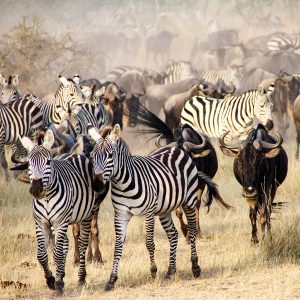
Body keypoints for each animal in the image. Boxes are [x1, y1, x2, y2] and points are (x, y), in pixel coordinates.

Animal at [18, 131, 98, 296]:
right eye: (28, 163)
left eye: (48, 162)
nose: (36, 190)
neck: (47, 197)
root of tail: (73, 154)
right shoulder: (41, 223)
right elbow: (42, 255)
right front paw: (51, 280)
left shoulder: (60, 222)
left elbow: (58, 253)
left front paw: (59, 285)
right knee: (65, 244)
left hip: (86, 215)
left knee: (82, 244)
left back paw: (81, 278)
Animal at [88, 123, 224, 290]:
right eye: (92, 155)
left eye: (110, 155)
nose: (97, 185)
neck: (123, 183)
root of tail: (177, 149)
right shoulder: (120, 214)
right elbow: (118, 246)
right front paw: (112, 279)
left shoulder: (148, 213)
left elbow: (149, 243)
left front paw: (153, 272)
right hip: (164, 210)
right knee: (173, 234)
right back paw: (170, 271)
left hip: (189, 201)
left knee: (192, 231)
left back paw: (195, 267)